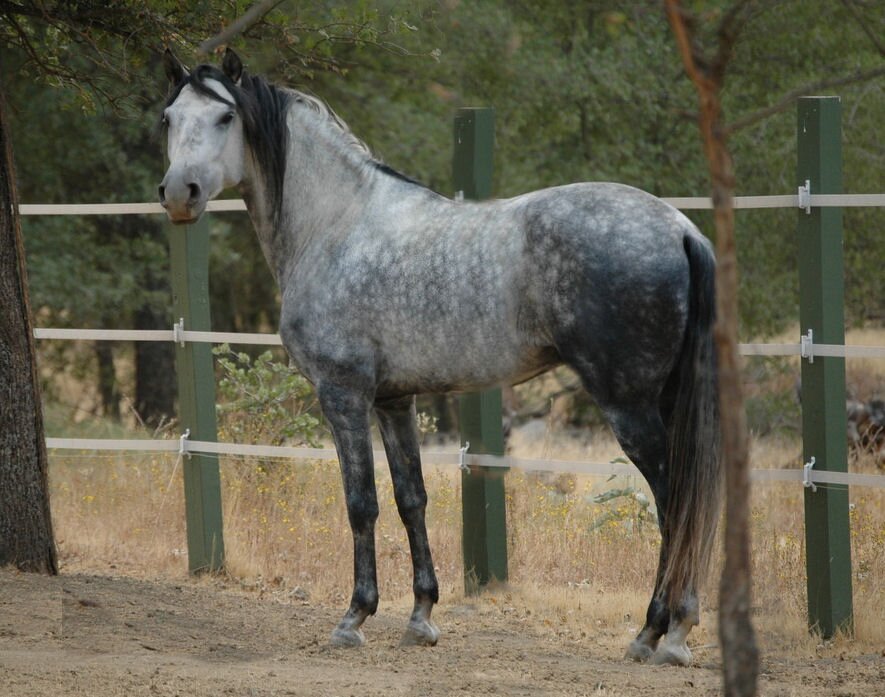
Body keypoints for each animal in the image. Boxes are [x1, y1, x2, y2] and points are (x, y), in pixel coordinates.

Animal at [158, 48, 721, 666]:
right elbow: (412, 499)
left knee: (675, 503)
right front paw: (421, 616)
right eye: (168, 117)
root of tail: (680, 228)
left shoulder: (343, 395)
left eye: (225, 117)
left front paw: (354, 618)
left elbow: (361, 502)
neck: (338, 226)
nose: (179, 194)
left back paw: (657, 631)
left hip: (629, 406)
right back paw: (670, 629)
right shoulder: (394, 401)